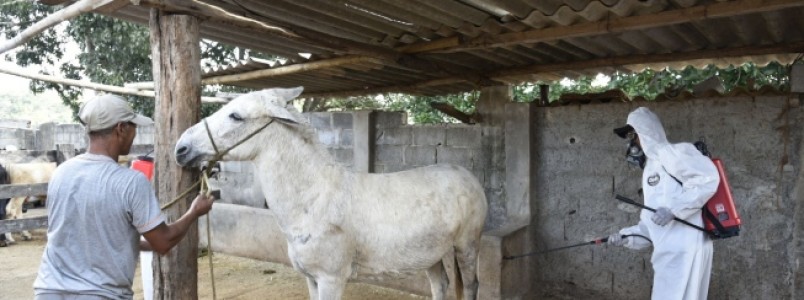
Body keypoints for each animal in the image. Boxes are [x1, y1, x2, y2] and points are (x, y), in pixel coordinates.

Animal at [175, 87, 486, 300]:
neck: (313, 199)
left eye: (236, 116)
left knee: (471, 285)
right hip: (431, 253)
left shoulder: (331, 278)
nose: (181, 148)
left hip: (467, 245)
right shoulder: (311, 278)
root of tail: (467, 175)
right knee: (441, 284)